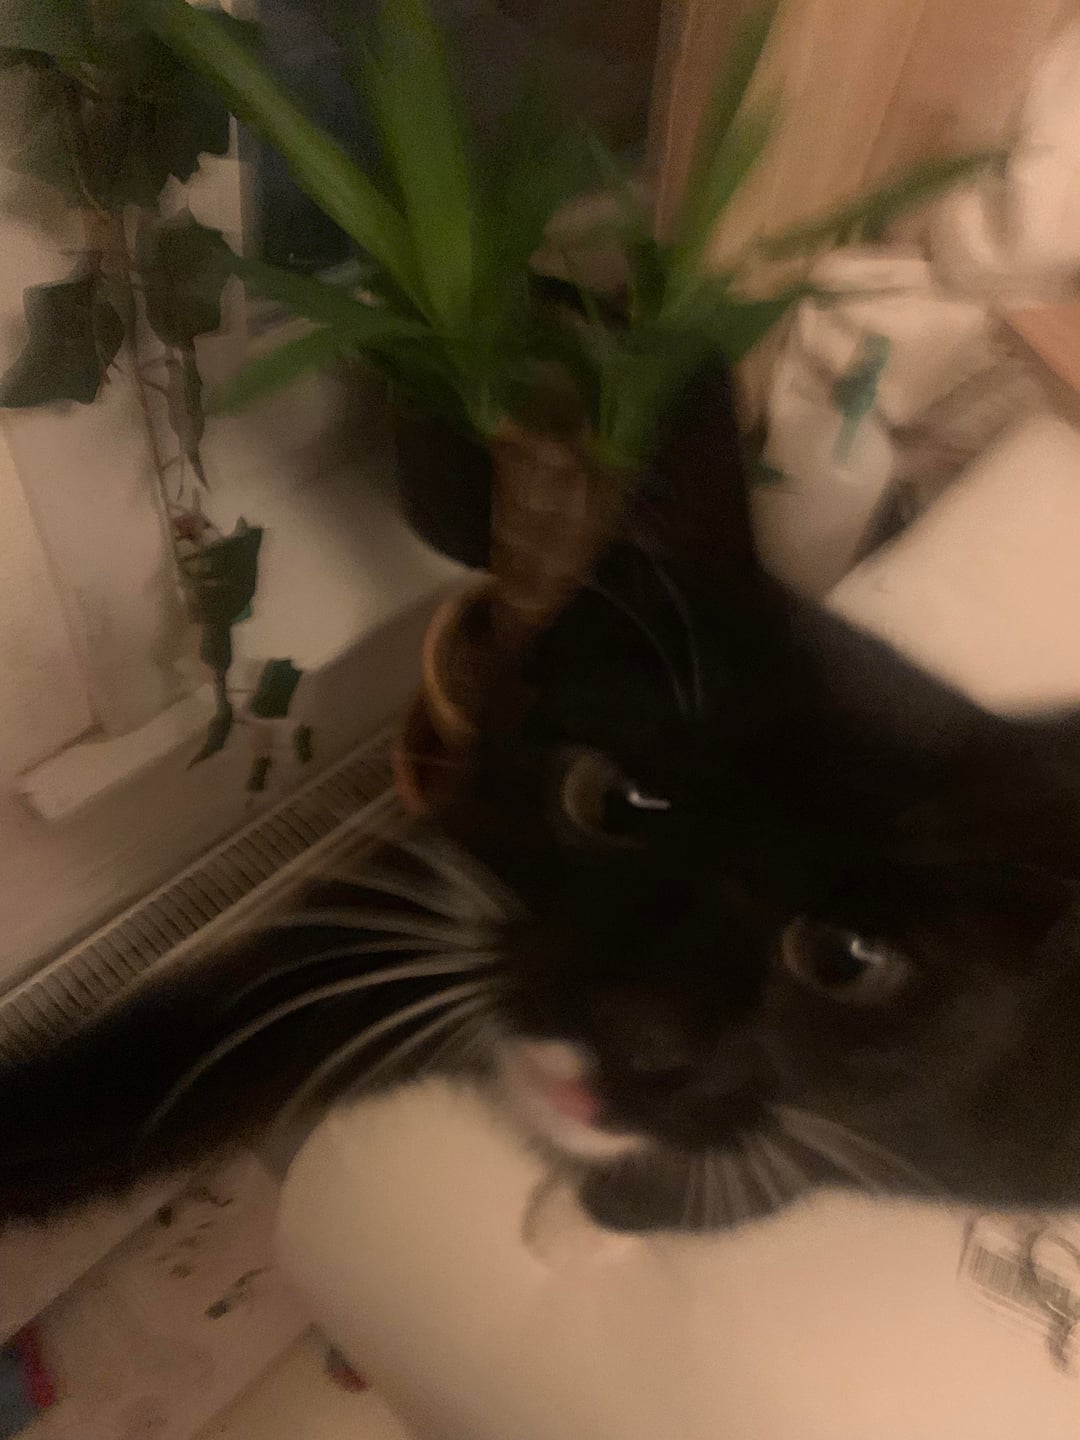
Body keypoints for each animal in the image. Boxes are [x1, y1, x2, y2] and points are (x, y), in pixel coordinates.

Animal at [3, 362, 1080, 1235]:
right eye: (611, 803)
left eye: (849, 959)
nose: (635, 1032)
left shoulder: (955, 1126)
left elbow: (781, 1164)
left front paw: (607, 1209)